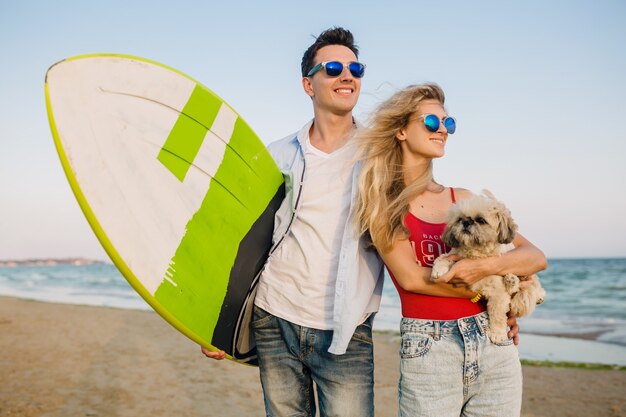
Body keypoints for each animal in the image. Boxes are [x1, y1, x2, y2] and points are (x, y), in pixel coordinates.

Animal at [428, 190, 544, 342]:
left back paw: (515, 282)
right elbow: (442, 258)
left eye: (481, 220)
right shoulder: (454, 254)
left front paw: (497, 333)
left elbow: (497, 315)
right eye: (459, 219)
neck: (475, 253)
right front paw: (438, 270)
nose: (466, 222)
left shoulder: (498, 293)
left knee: (531, 286)